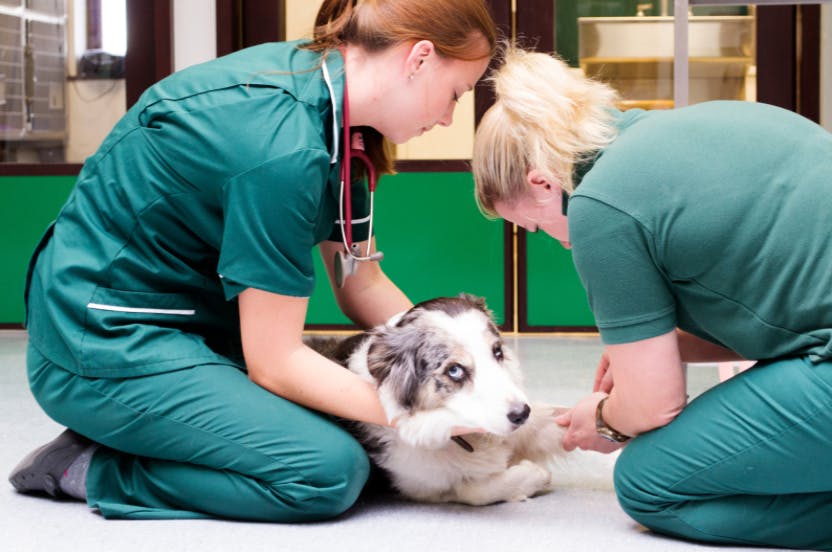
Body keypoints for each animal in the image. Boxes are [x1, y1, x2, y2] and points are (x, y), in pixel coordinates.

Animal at [306, 296, 572, 506]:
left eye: (497, 352)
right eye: (454, 370)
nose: (521, 414)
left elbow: (557, 419)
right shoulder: (422, 486)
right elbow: (473, 491)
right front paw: (535, 474)